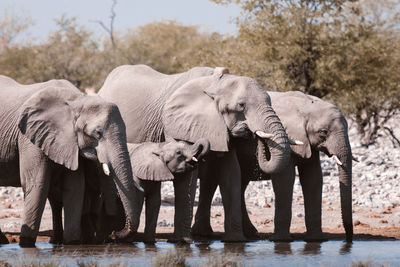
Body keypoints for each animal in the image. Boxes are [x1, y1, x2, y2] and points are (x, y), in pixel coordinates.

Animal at [0, 75, 142, 247]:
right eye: (98, 133)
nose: (115, 234)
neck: (77, 101)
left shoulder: (70, 144)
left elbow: (75, 187)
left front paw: (72, 243)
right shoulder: (29, 136)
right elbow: (37, 184)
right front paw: (26, 244)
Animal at [97, 65, 290, 243]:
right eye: (241, 106)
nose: (257, 136)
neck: (215, 82)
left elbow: (231, 175)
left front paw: (235, 241)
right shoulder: (176, 124)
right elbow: (187, 175)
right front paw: (182, 242)